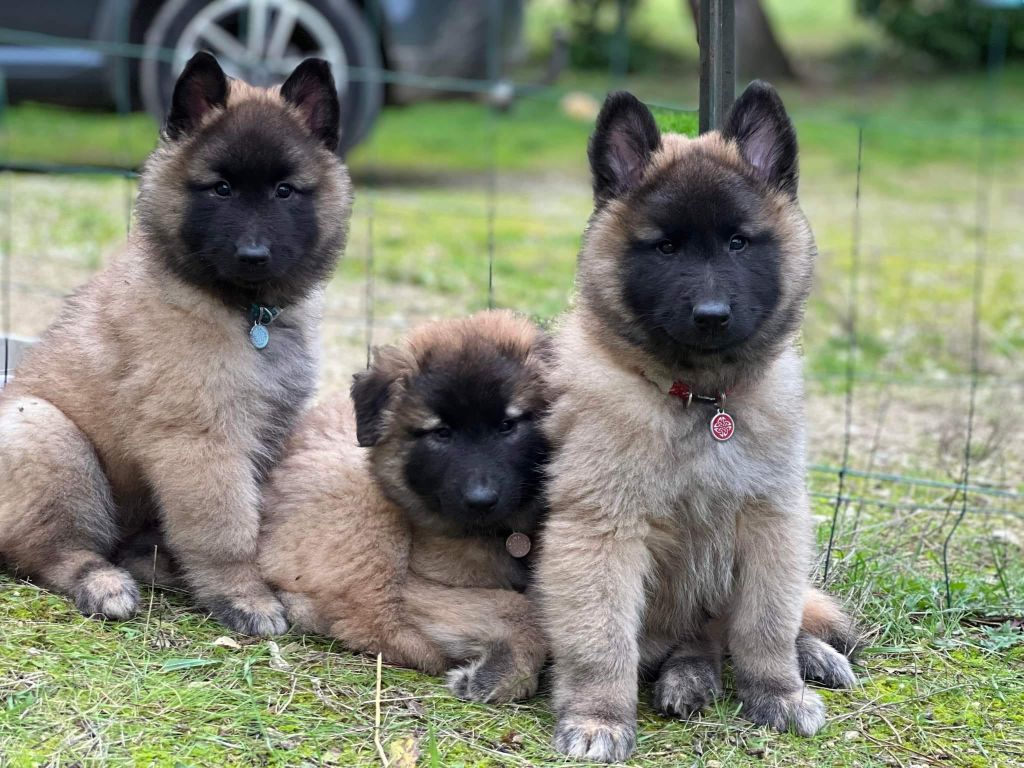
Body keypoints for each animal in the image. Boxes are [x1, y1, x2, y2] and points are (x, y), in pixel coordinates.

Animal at [262, 311, 552, 704]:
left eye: (508, 426)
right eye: (441, 433)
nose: (480, 500)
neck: (503, 533)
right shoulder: (418, 586)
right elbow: (520, 608)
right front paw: (503, 674)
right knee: (373, 612)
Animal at [540, 85, 860, 765]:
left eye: (739, 243)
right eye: (665, 248)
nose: (711, 315)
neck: (701, 399)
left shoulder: (773, 521)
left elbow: (766, 624)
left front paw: (777, 693)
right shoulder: (601, 531)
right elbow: (601, 638)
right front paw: (599, 716)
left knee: (741, 629)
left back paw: (807, 658)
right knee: (696, 643)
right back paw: (689, 677)